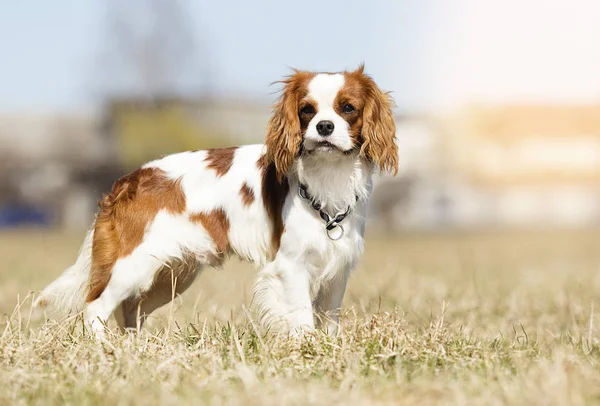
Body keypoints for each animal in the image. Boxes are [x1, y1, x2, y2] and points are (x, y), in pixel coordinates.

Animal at [34, 66, 398, 338]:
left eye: (348, 108)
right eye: (307, 110)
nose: (324, 126)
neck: (328, 176)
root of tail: (127, 181)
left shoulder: (337, 268)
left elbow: (329, 320)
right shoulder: (291, 266)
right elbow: (301, 317)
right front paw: (305, 348)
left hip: (169, 276)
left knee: (129, 312)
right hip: (132, 267)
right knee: (96, 307)